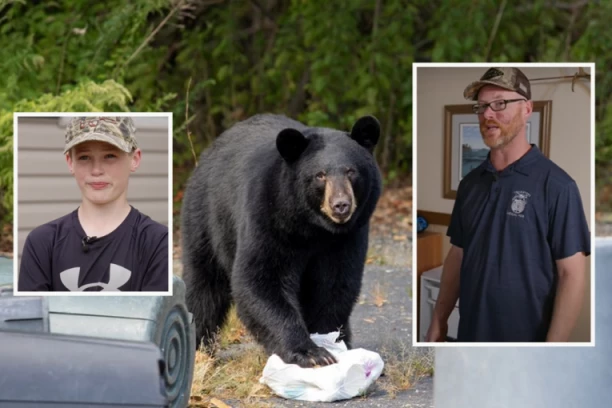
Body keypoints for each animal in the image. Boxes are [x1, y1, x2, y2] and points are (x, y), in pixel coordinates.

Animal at [182, 114, 380, 366]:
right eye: (320, 175)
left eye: (351, 171)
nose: (341, 205)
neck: (313, 227)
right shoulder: (269, 219)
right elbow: (261, 279)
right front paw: (311, 353)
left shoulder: (347, 237)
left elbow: (335, 284)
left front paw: (327, 341)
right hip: (207, 219)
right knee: (204, 286)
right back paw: (199, 347)